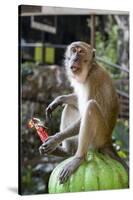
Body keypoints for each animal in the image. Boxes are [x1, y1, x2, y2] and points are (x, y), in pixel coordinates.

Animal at [39, 40, 128, 184]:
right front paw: (59, 99)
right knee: (70, 107)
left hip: (99, 137)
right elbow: (75, 100)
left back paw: (78, 158)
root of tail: (108, 140)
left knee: (91, 107)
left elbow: (87, 110)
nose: (74, 58)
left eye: (80, 52)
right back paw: (66, 151)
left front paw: (55, 139)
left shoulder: (94, 79)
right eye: (73, 50)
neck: (89, 70)